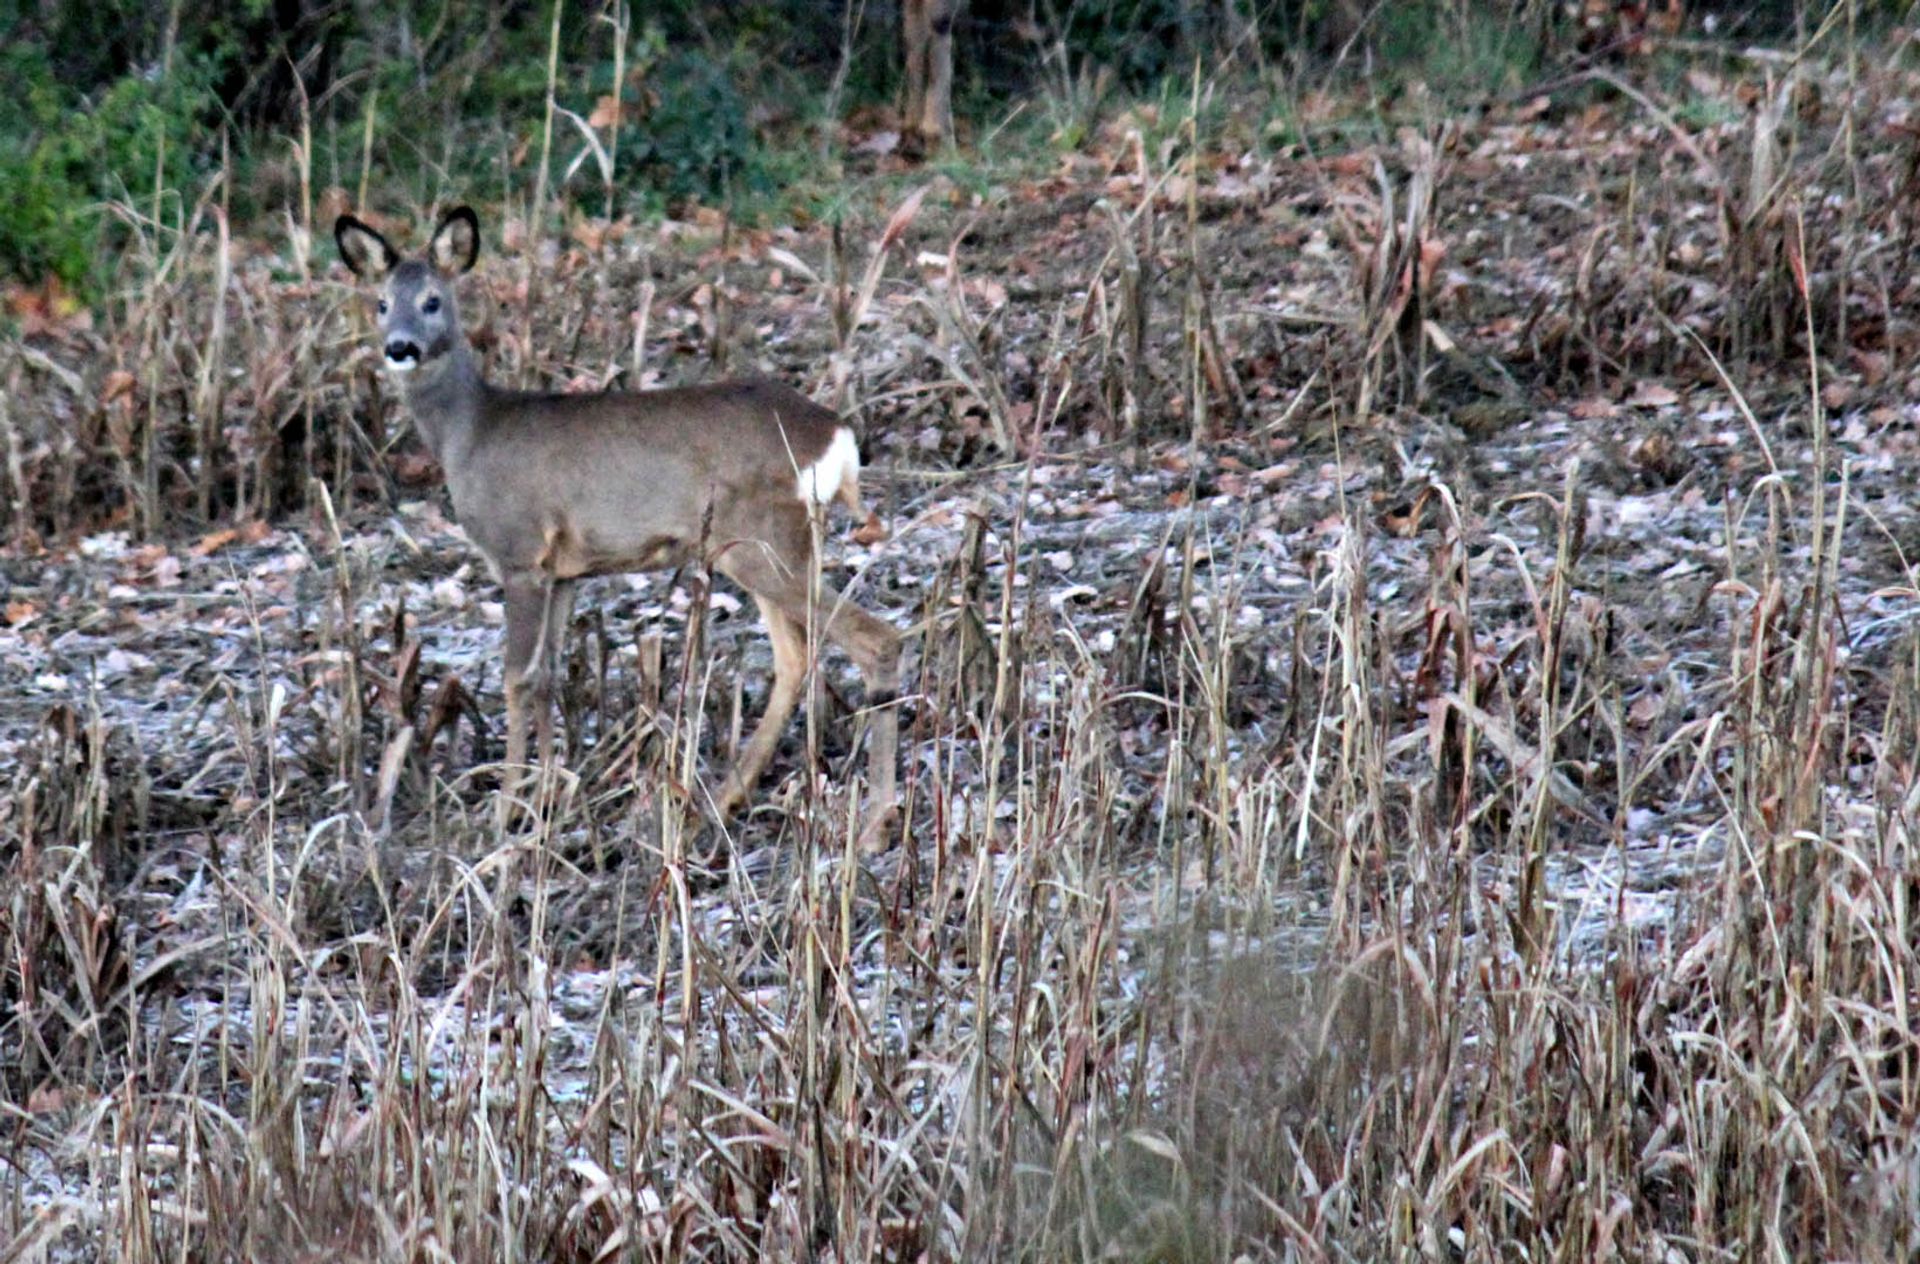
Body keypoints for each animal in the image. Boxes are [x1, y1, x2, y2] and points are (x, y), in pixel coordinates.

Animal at [334, 206, 902, 837]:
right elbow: (548, 676)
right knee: (795, 658)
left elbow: (517, 677)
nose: (400, 347)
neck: (470, 432)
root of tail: (836, 434)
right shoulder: (563, 572)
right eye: (382, 302)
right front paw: (548, 794)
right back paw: (721, 798)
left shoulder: (519, 552)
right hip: (771, 543)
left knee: (874, 639)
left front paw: (507, 806)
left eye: (433, 300)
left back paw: (875, 823)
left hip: (760, 537)